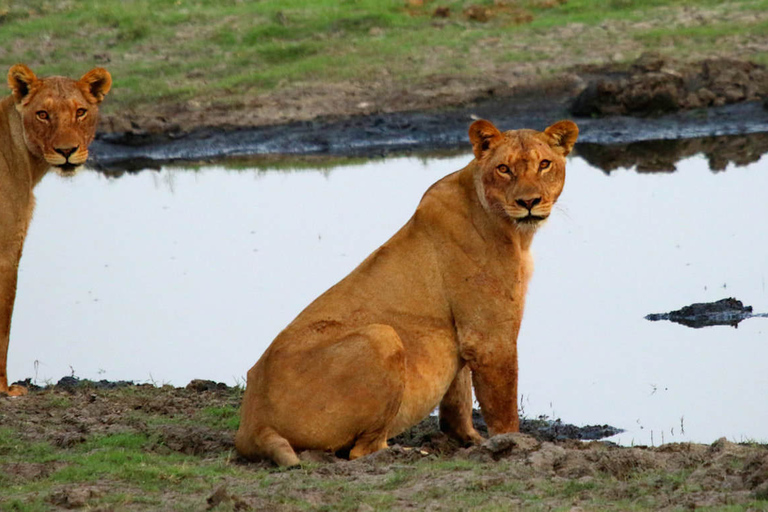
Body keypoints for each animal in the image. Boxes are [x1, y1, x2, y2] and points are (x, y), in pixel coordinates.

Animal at [0, 64, 111, 396]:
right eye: (43, 114)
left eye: (80, 112)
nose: (66, 151)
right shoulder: (7, 252)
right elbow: (4, 324)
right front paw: (5, 389)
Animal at [237, 118, 580, 466]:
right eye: (504, 169)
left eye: (544, 164)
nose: (529, 203)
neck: (514, 232)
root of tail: (253, 425)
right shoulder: (489, 337)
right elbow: (503, 406)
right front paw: (513, 445)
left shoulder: (463, 335)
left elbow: (458, 398)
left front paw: (469, 440)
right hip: (382, 336)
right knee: (362, 451)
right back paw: (411, 451)